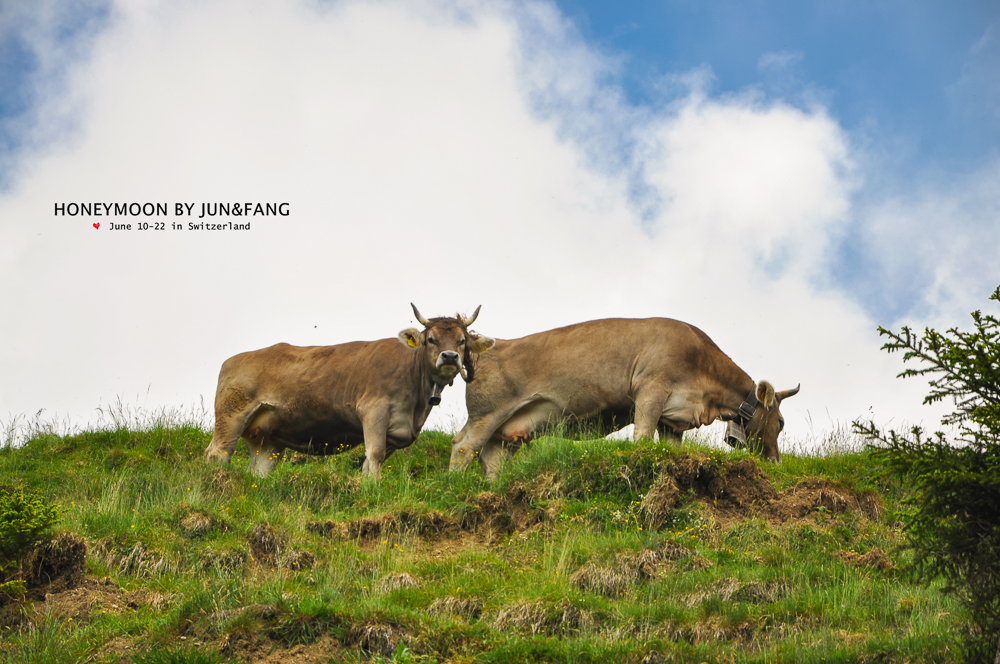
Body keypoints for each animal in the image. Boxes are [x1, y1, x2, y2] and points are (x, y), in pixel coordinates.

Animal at [204, 306, 496, 478]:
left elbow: (371, 460)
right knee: (218, 453)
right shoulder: (373, 410)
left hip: (265, 437)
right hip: (232, 415)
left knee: (259, 470)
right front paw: (374, 488)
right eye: (432, 339)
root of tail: (233, 359)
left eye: (462, 340)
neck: (416, 406)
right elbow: (375, 454)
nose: (450, 357)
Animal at [450, 316, 800, 478]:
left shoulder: (674, 418)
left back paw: (489, 489)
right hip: (487, 413)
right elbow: (642, 436)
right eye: (781, 422)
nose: (776, 461)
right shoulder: (651, 390)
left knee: (488, 456)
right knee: (464, 446)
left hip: (503, 428)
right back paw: (456, 483)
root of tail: (485, 348)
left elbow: (671, 446)